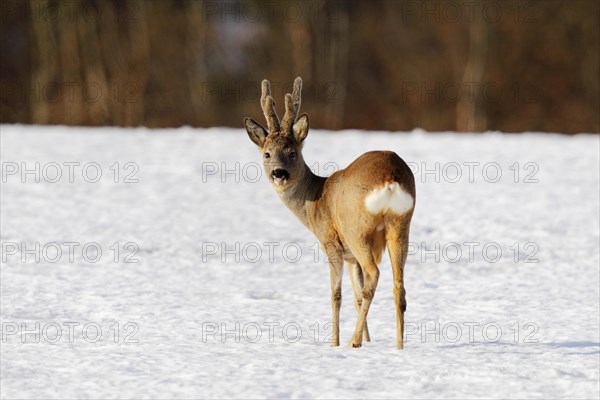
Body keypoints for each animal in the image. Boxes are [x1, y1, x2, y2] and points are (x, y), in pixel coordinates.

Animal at [244, 77, 418, 346]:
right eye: (267, 153)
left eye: (292, 152)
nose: (278, 173)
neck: (316, 200)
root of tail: (391, 178)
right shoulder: (350, 257)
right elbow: (357, 297)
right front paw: (368, 341)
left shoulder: (331, 243)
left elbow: (336, 295)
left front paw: (334, 344)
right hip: (401, 225)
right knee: (398, 286)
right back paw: (398, 347)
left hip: (357, 230)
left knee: (374, 275)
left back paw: (352, 342)